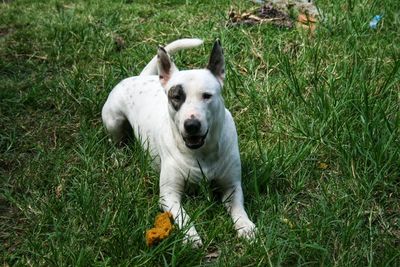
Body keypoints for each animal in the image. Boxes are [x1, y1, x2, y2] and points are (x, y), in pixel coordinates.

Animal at [101, 38, 255, 247]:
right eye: (176, 97)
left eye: (207, 95)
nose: (191, 125)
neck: (202, 153)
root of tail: (141, 78)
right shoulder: (169, 195)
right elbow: (183, 216)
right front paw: (191, 236)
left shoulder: (232, 186)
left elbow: (238, 208)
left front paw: (245, 227)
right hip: (113, 120)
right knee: (116, 141)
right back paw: (119, 156)